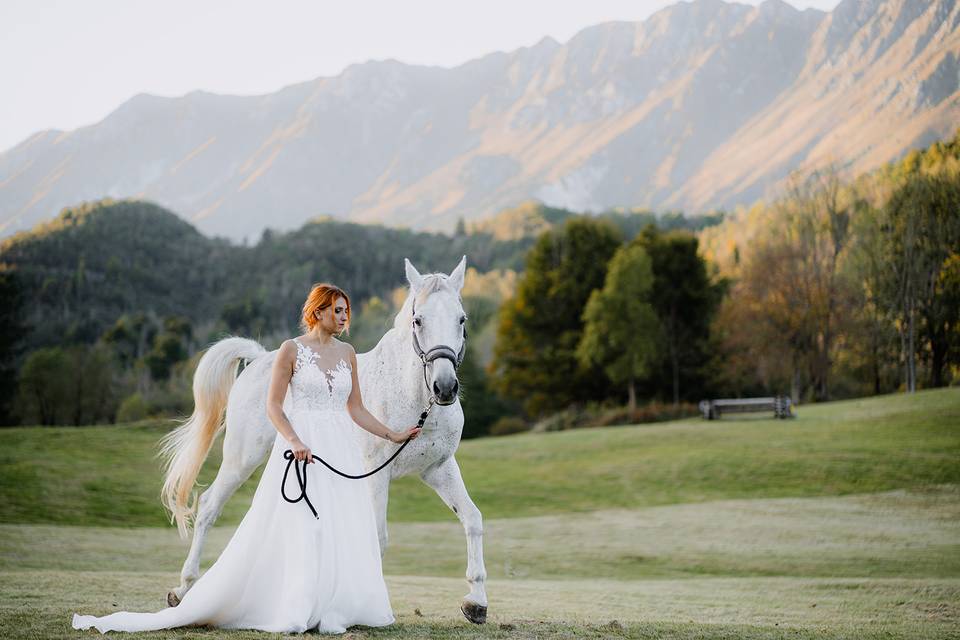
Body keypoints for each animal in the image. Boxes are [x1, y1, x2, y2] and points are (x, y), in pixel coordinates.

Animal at [160, 256, 488, 624]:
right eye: (419, 320)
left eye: (461, 319)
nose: (444, 388)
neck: (415, 398)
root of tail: (259, 360)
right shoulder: (378, 474)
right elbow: (378, 537)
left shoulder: (439, 470)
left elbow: (472, 519)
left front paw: (476, 602)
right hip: (240, 460)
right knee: (208, 506)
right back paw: (183, 589)